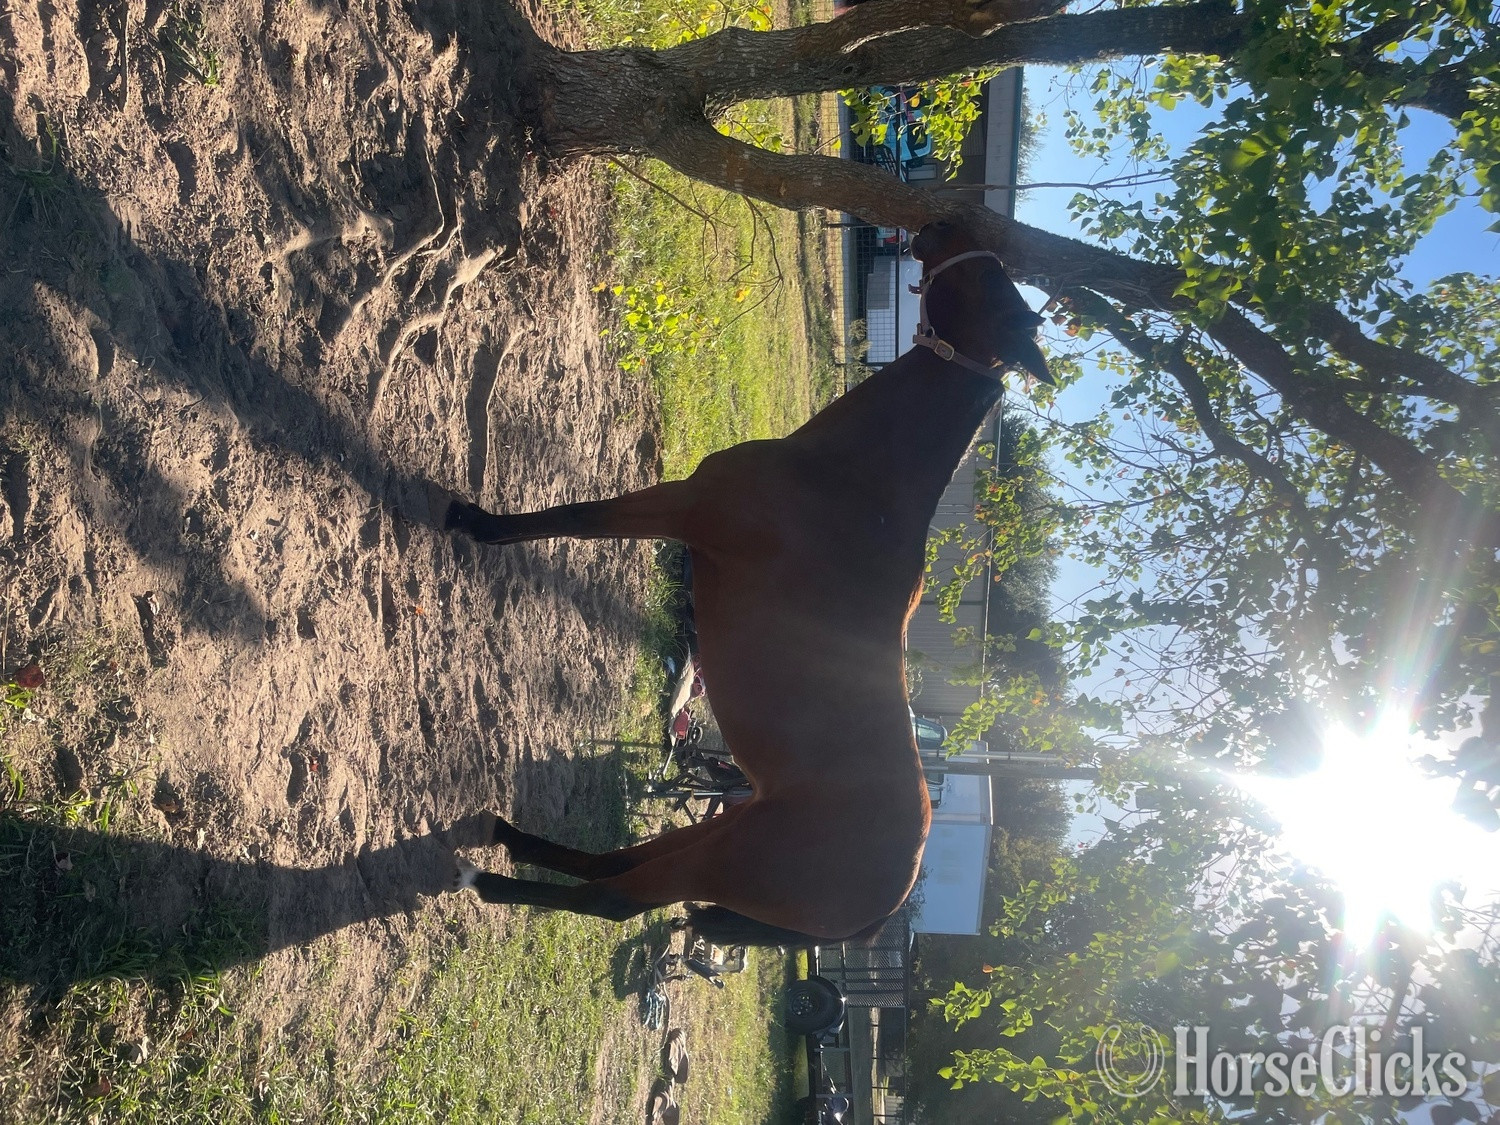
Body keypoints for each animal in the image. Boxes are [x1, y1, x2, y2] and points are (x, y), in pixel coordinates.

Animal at [444, 221, 1052, 946]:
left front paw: (475, 523)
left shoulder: (683, 507)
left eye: (990, 280)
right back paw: (504, 835)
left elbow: (575, 517)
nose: (942, 226)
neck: (848, 485)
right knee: (612, 864)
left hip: (722, 858)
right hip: (725, 826)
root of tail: (889, 899)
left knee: (610, 899)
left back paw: (487, 880)